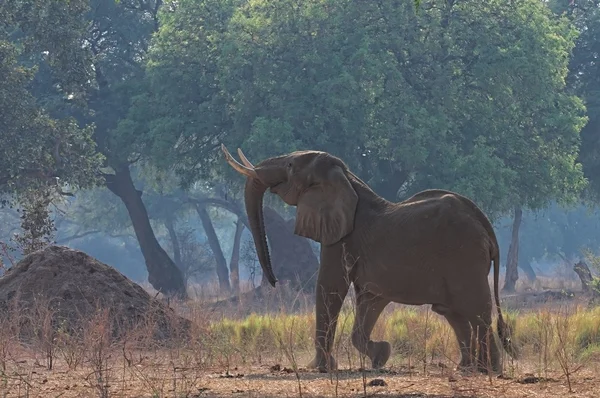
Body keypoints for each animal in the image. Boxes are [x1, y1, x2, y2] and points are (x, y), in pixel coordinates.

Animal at [220, 145, 516, 374]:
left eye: (291, 165)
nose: (274, 281)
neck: (347, 178)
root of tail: (487, 228)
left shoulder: (342, 236)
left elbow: (330, 287)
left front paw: (320, 367)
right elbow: (370, 299)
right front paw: (380, 356)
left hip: (465, 257)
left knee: (476, 311)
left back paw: (488, 370)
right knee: (453, 311)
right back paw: (467, 368)